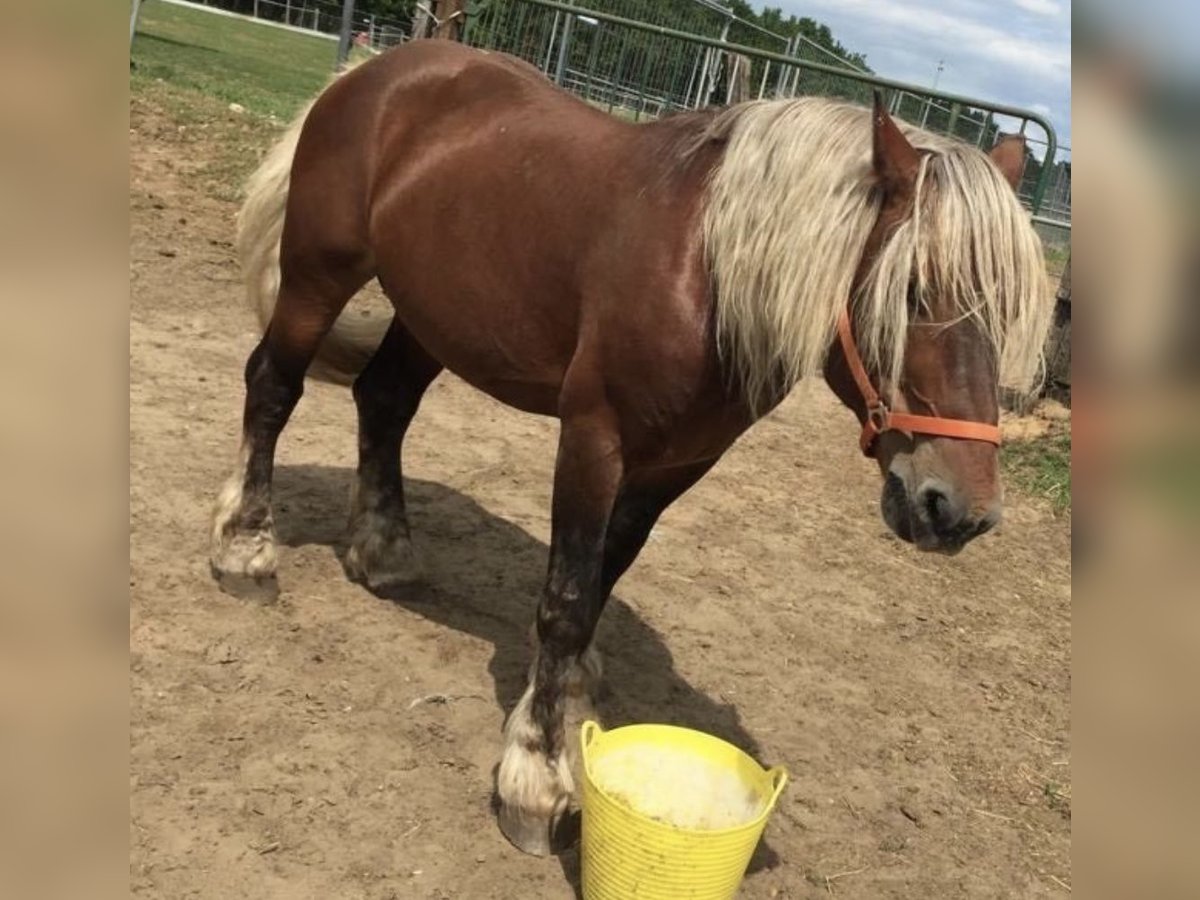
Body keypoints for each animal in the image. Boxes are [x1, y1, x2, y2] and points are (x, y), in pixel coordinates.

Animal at [208, 40, 1051, 859]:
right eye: (915, 291)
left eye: (1007, 311)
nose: (960, 510)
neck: (705, 271)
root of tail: (375, 70)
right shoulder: (594, 440)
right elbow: (566, 601)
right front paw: (537, 777)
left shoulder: (674, 465)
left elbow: (605, 574)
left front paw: (569, 697)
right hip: (319, 274)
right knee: (272, 387)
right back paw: (244, 549)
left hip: (429, 316)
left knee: (384, 401)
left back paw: (383, 553)